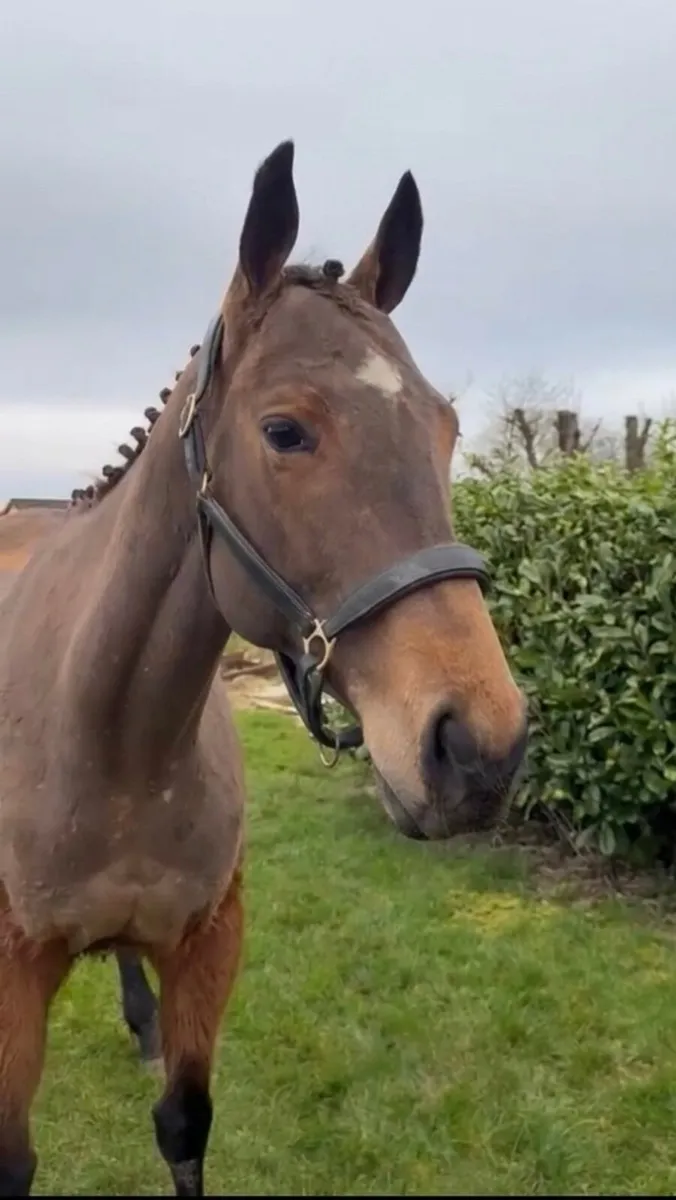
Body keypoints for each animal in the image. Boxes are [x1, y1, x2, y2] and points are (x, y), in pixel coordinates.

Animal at [0, 140, 528, 1195]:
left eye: (446, 427)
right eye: (285, 430)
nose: (479, 749)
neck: (111, 739)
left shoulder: (210, 943)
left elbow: (184, 1126)